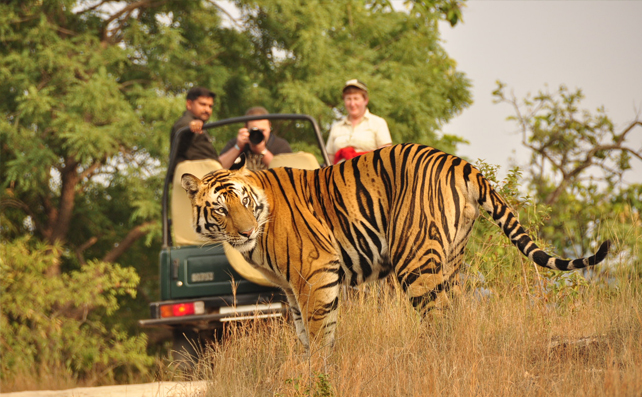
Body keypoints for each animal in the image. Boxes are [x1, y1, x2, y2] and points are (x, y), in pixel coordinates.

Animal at [181, 142, 608, 350]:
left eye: (243, 201)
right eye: (220, 209)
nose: (245, 231)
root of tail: (460, 162)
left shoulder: (315, 274)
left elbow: (320, 334)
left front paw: (318, 374)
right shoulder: (291, 288)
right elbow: (305, 334)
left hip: (415, 260)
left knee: (438, 320)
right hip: (451, 259)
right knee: (455, 314)